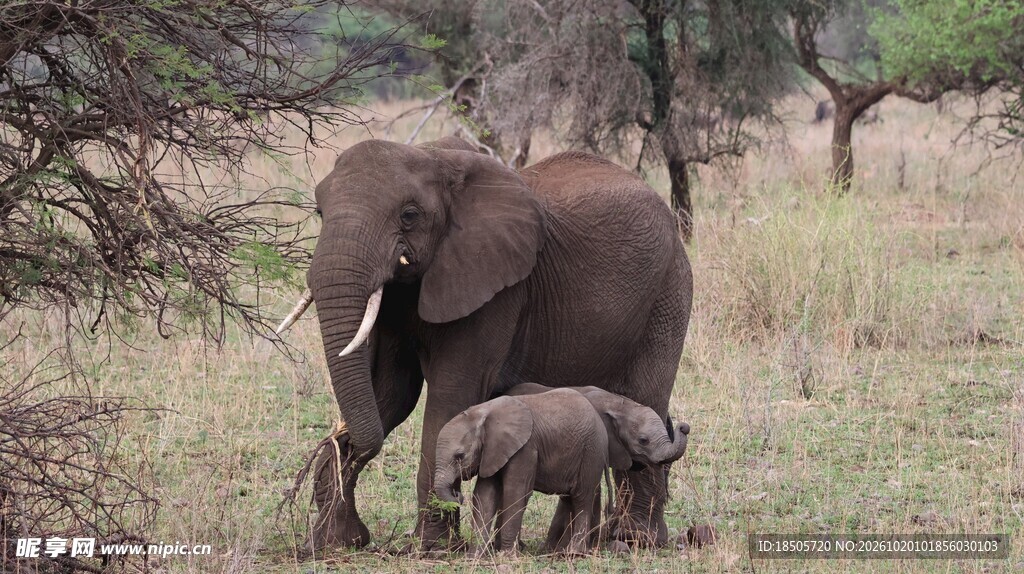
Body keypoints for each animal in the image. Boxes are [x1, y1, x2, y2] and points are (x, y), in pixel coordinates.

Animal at [433, 390, 609, 556]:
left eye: (459, 456)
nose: (458, 494)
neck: (483, 412)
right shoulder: (492, 451)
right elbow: (484, 496)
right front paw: (473, 557)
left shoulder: (526, 448)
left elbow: (515, 493)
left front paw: (506, 555)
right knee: (568, 499)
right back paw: (559, 552)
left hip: (592, 452)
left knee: (582, 498)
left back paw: (574, 552)